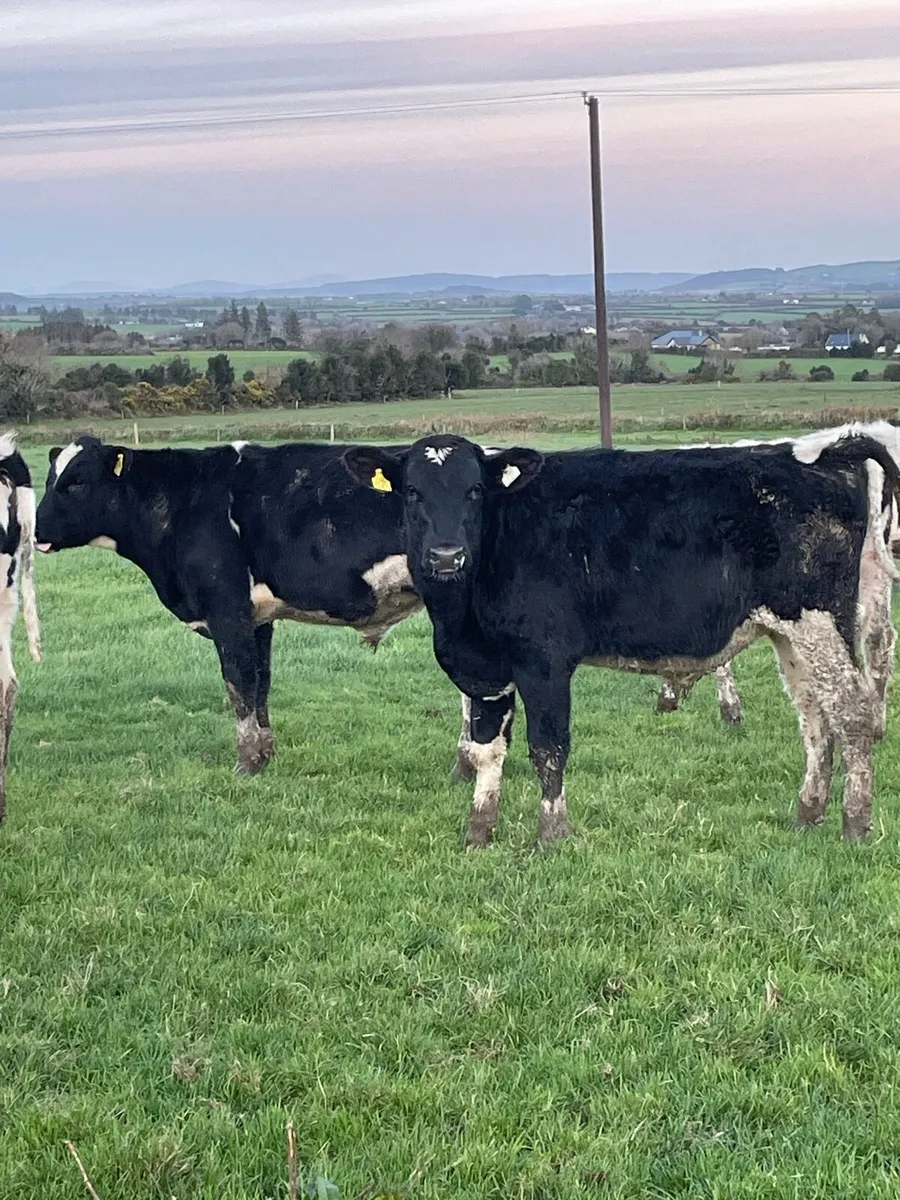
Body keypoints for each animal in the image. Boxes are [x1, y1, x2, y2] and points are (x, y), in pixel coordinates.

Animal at [343, 432, 900, 847]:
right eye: (412, 492)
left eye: (474, 491)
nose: (445, 555)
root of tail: (823, 453)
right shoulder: (486, 669)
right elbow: (487, 750)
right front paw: (479, 832)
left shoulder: (544, 663)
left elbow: (548, 747)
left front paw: (552, 835)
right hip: (793, 636)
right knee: (816, 721)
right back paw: (808, 813)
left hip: (818, 624)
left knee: (854, 716)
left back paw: (854, 824)